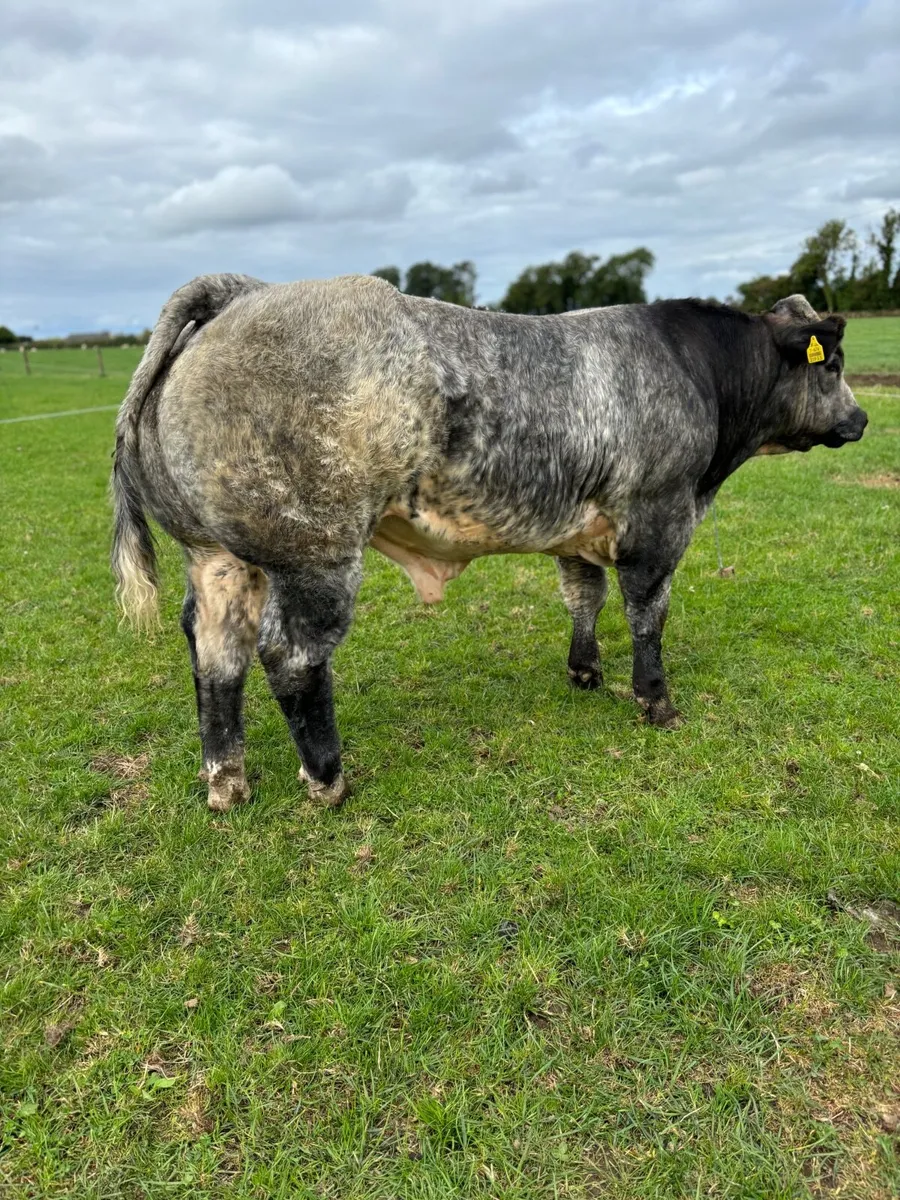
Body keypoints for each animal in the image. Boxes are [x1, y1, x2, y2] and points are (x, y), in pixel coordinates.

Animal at [111, 275, 867, 812]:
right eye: (831, 366)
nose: (860, 420)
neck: (695, 371)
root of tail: (244, 293)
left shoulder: (579, 531)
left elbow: (584, 599)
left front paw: (585, 671)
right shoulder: (659, 519)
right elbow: (647, 615)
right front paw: (656, 701)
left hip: (218, 558)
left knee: (217, 652)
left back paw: (226, 781)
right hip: (315, 554)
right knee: (291, 657)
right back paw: (327, 779)